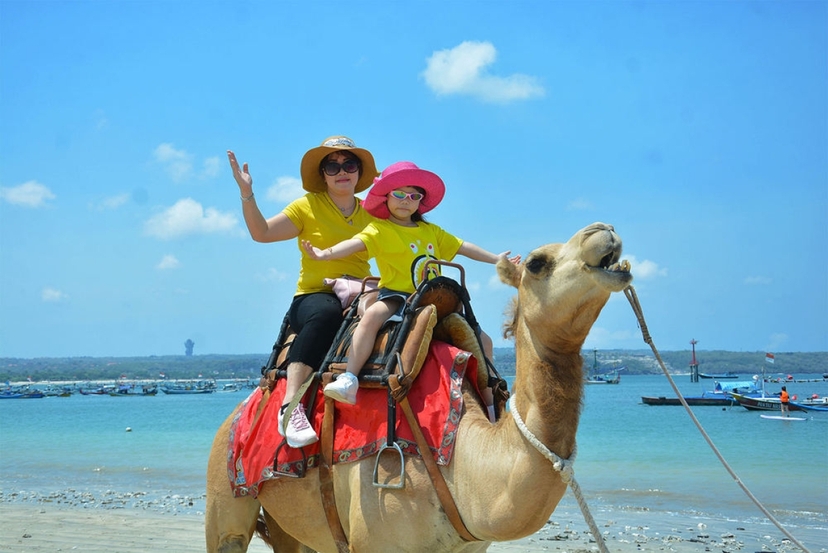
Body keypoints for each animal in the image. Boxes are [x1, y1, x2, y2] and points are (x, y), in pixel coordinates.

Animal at [206, 221, 633, 553]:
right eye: (537, 263)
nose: (605, 230)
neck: (463, 465)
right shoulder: (374, 538)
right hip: (223, 493)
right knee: (228, 533)